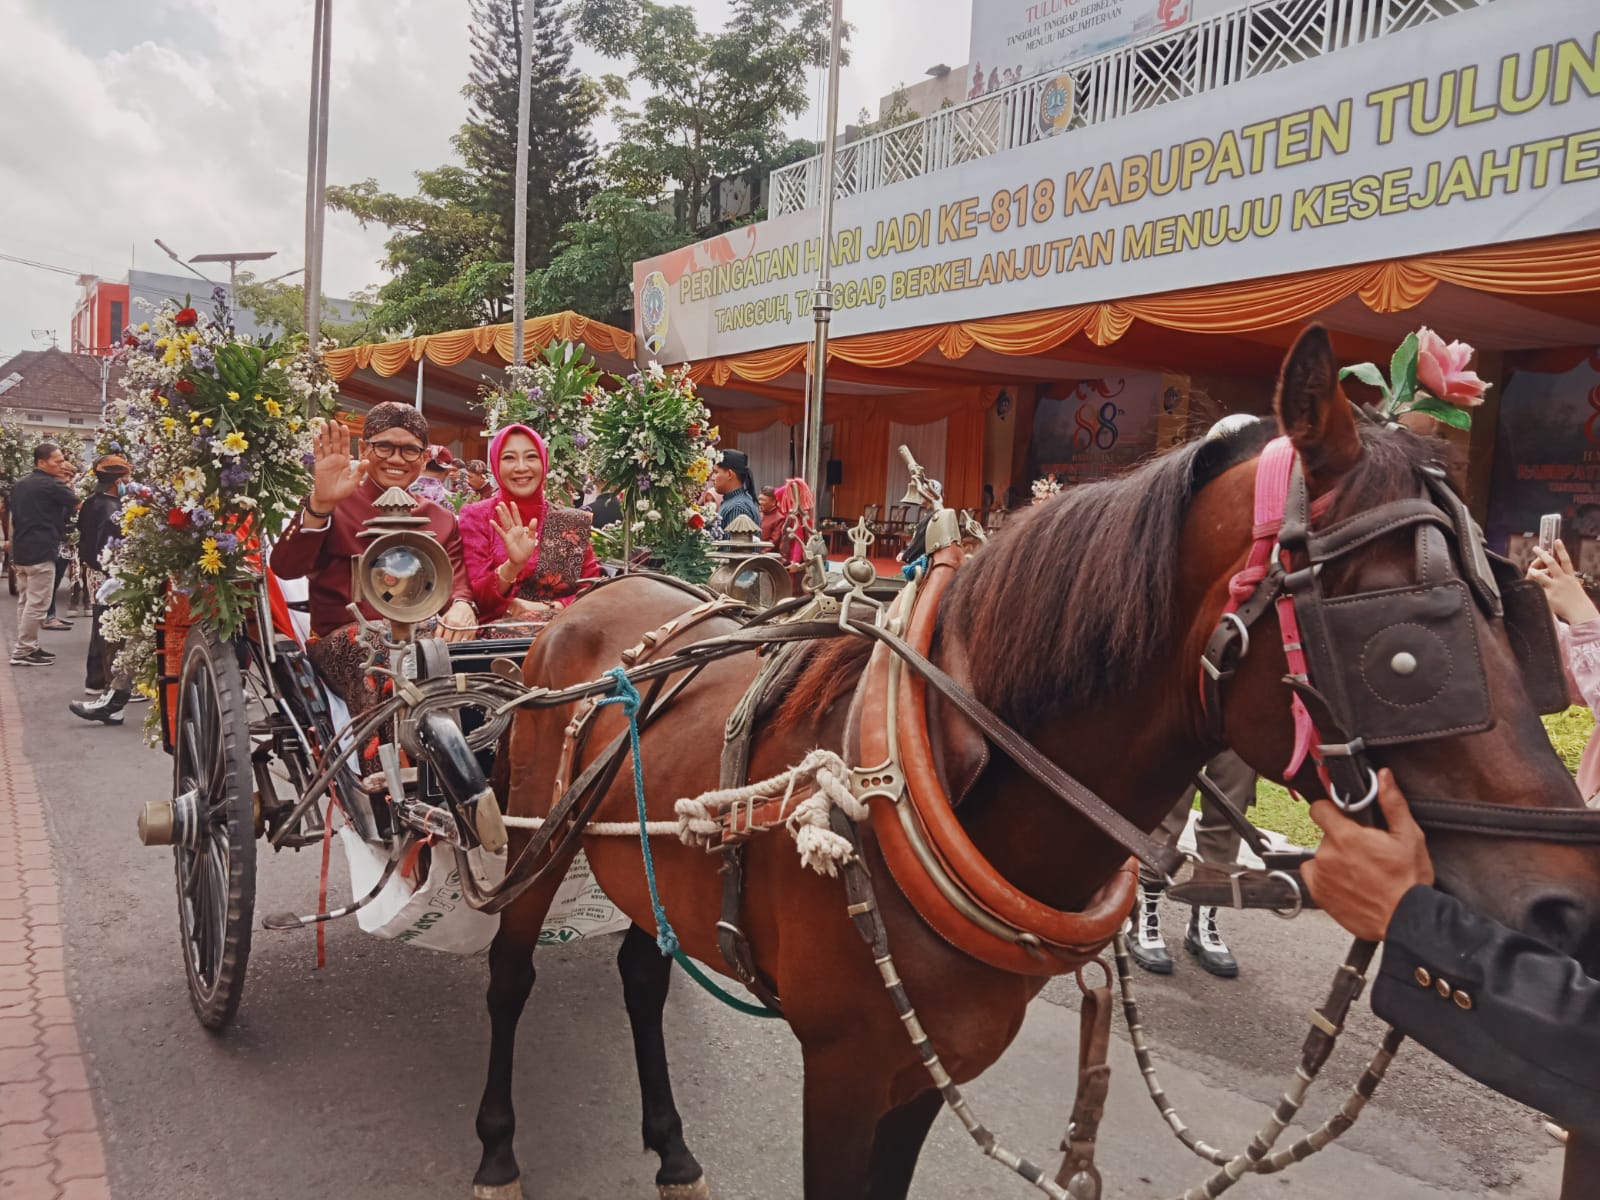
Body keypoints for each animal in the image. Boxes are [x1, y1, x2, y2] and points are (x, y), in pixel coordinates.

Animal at [467, 324, 1600, 1196]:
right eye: (1406, 650)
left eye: (1514, 614)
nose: (1567, 909)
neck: (914, 782)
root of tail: (594, 596)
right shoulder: (843, 1072)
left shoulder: (925, 1076)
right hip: (533, 839)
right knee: (511, 974)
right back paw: (497, 1150)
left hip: (644, 857)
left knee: (639, 972)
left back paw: (671, 1150)